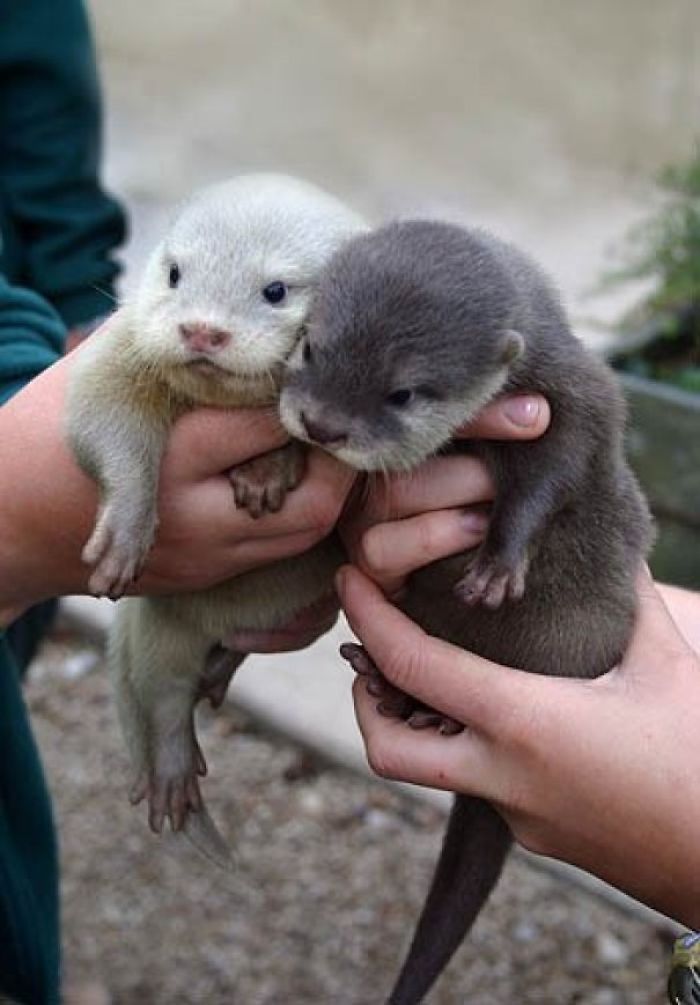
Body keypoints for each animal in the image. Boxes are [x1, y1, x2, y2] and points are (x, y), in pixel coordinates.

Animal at [279, 219, 654, 1003]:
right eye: (310, 347)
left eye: (403, 392)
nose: (322, 425)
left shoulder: (574, 392)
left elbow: (557, 469)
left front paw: (499, 561)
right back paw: (390, 687)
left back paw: (425, 707)